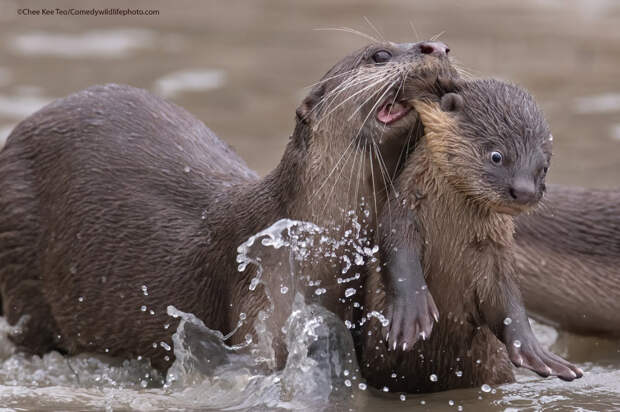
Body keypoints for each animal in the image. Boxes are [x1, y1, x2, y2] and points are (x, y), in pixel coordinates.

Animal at [358, 78, 580, 392]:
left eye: (543, 167)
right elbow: (398, 253)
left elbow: (507, 299)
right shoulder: (403, 213)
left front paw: (535, 351)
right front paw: (412, 313)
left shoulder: (495, 251)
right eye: (497, 155)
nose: (524, 191)